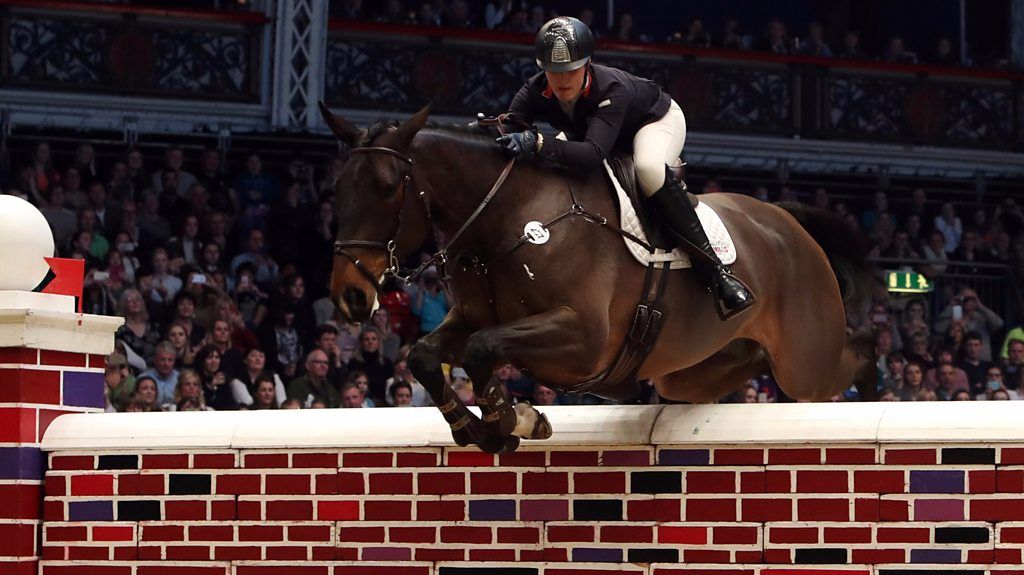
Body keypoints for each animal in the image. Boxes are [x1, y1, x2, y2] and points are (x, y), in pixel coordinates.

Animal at [321, 102, 880, 452]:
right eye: (337, 188)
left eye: (387, 187)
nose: (350, 297)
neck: (506, 217)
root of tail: (788, 223)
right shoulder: (470, 318)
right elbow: (425, 354)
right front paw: (477, 427)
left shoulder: (583, 337)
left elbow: (484, 348)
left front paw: (510, 420)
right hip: (693, 371)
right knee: (739, 369)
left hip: (804, 362)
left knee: (851, 355)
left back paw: (875, 384)